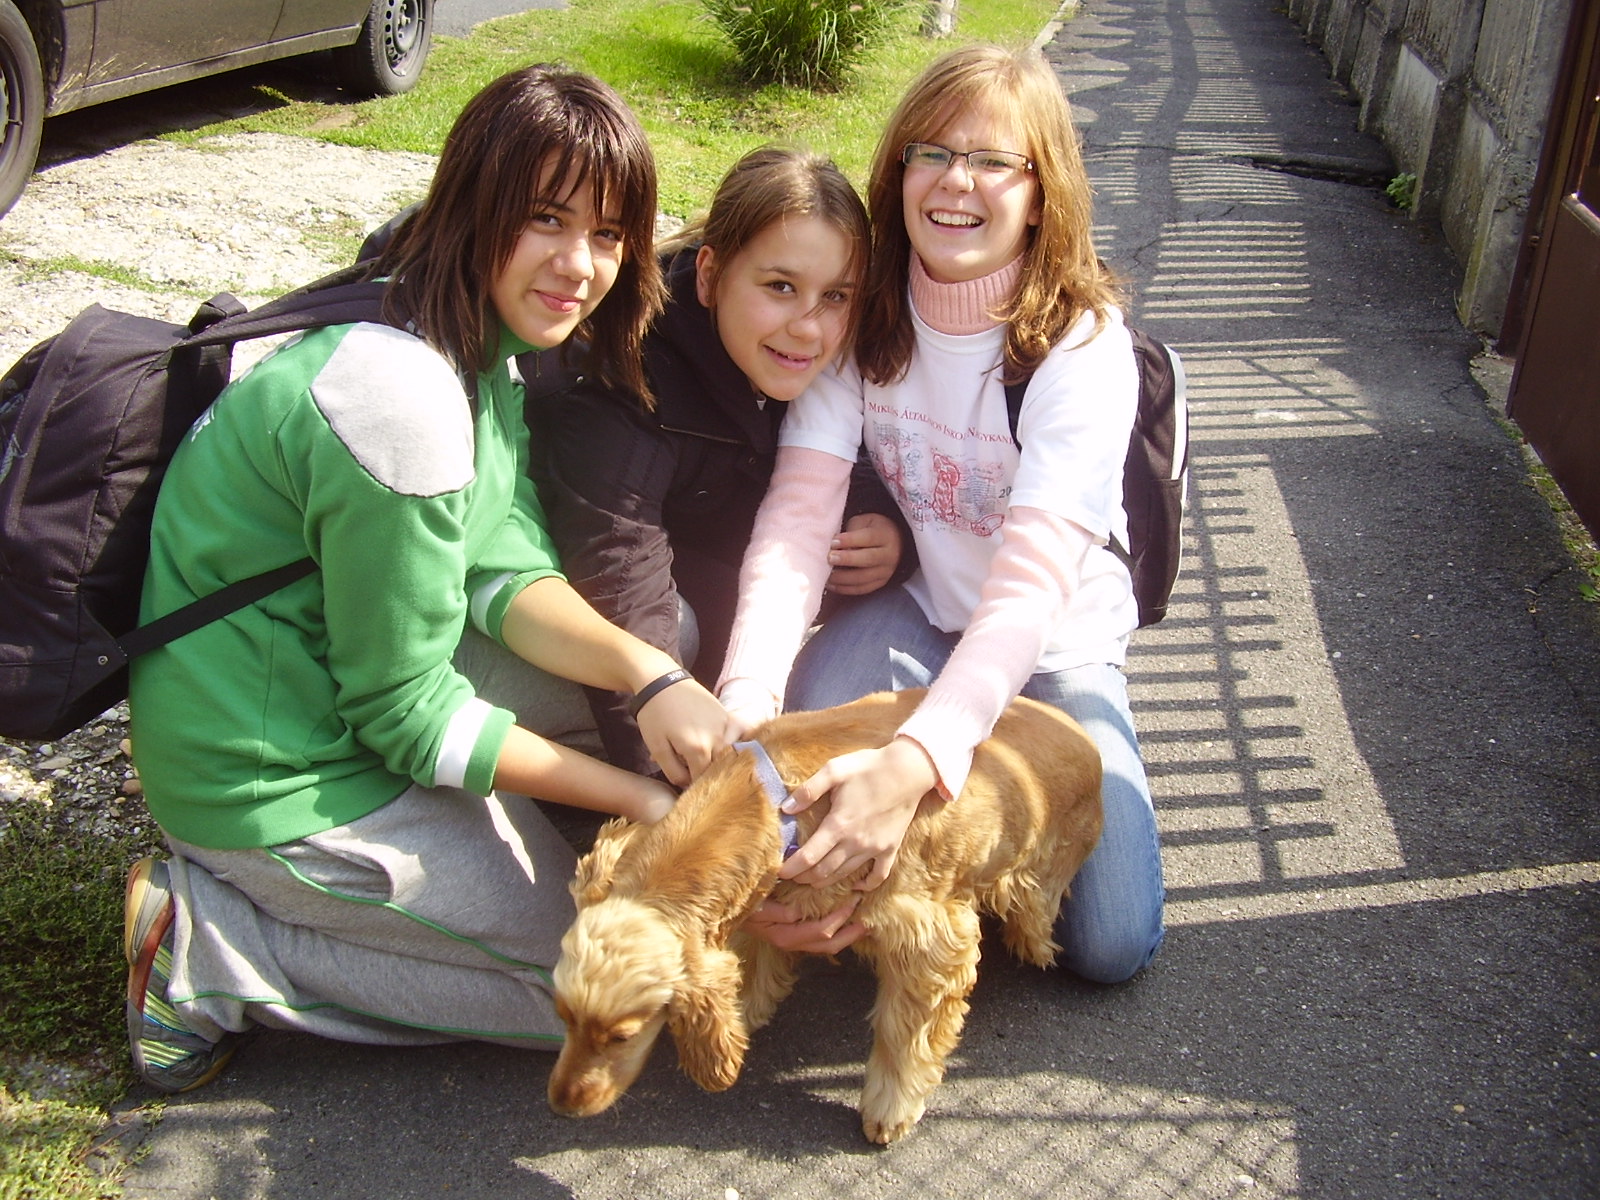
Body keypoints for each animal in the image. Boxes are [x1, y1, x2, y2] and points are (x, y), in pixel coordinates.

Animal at [545, 689, 1103, 1144]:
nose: (561, 1105)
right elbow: (753, 965)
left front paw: (889, 1109)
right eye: (563, 1017)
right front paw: (743, 1015)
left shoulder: (932, 938)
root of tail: (1093, 750)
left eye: (621, 1036)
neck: (769, 802)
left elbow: (905, 1036)